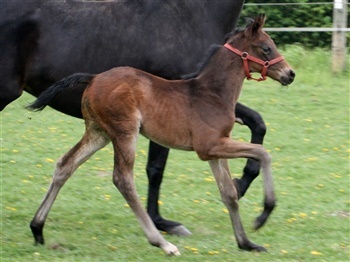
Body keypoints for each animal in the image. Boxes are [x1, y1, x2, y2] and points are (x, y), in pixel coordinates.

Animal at [28, 13, 296, 255]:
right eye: (266, 48)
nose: (290, 74)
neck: (212, 93)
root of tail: (93, 78)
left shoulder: (215, 149)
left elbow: (229, 193)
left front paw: (247, 243)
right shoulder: (209, 146)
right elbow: (263, 153)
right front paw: (263, 215)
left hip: (99, 134)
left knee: (66, 164)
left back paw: (37, 228)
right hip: (125, 132)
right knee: (123, 179)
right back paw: (163, 243)